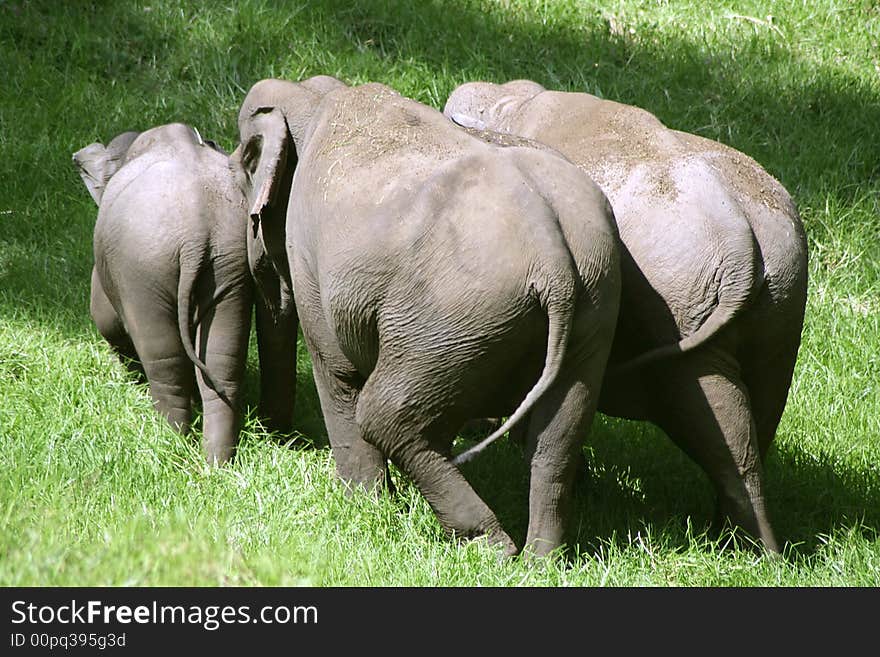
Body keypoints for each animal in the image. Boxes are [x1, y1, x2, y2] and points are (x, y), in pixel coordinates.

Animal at [73, 121, 300, 462]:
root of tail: (195, 235)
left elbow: (105, 317)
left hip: (144, 271)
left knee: (166, 363)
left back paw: (171, 443)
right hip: (229, 269)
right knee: (220, 364)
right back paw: (217, 459)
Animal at [230, 74, 624, 552]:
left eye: (240, 170)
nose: (274, 438)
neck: (315, 95)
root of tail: (552, 259)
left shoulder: (309, 256)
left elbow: (337, 372)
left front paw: (366, 506)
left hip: (451, 320)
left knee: (384, 415)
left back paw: (492, 549)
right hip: (591, 306)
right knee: (558, 436)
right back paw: (539, 558)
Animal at [444, 82, 808, 552]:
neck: (510, 104)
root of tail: (738, 233)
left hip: (683, 307)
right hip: (782, 307)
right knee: (756, 425)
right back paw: (740, 544)